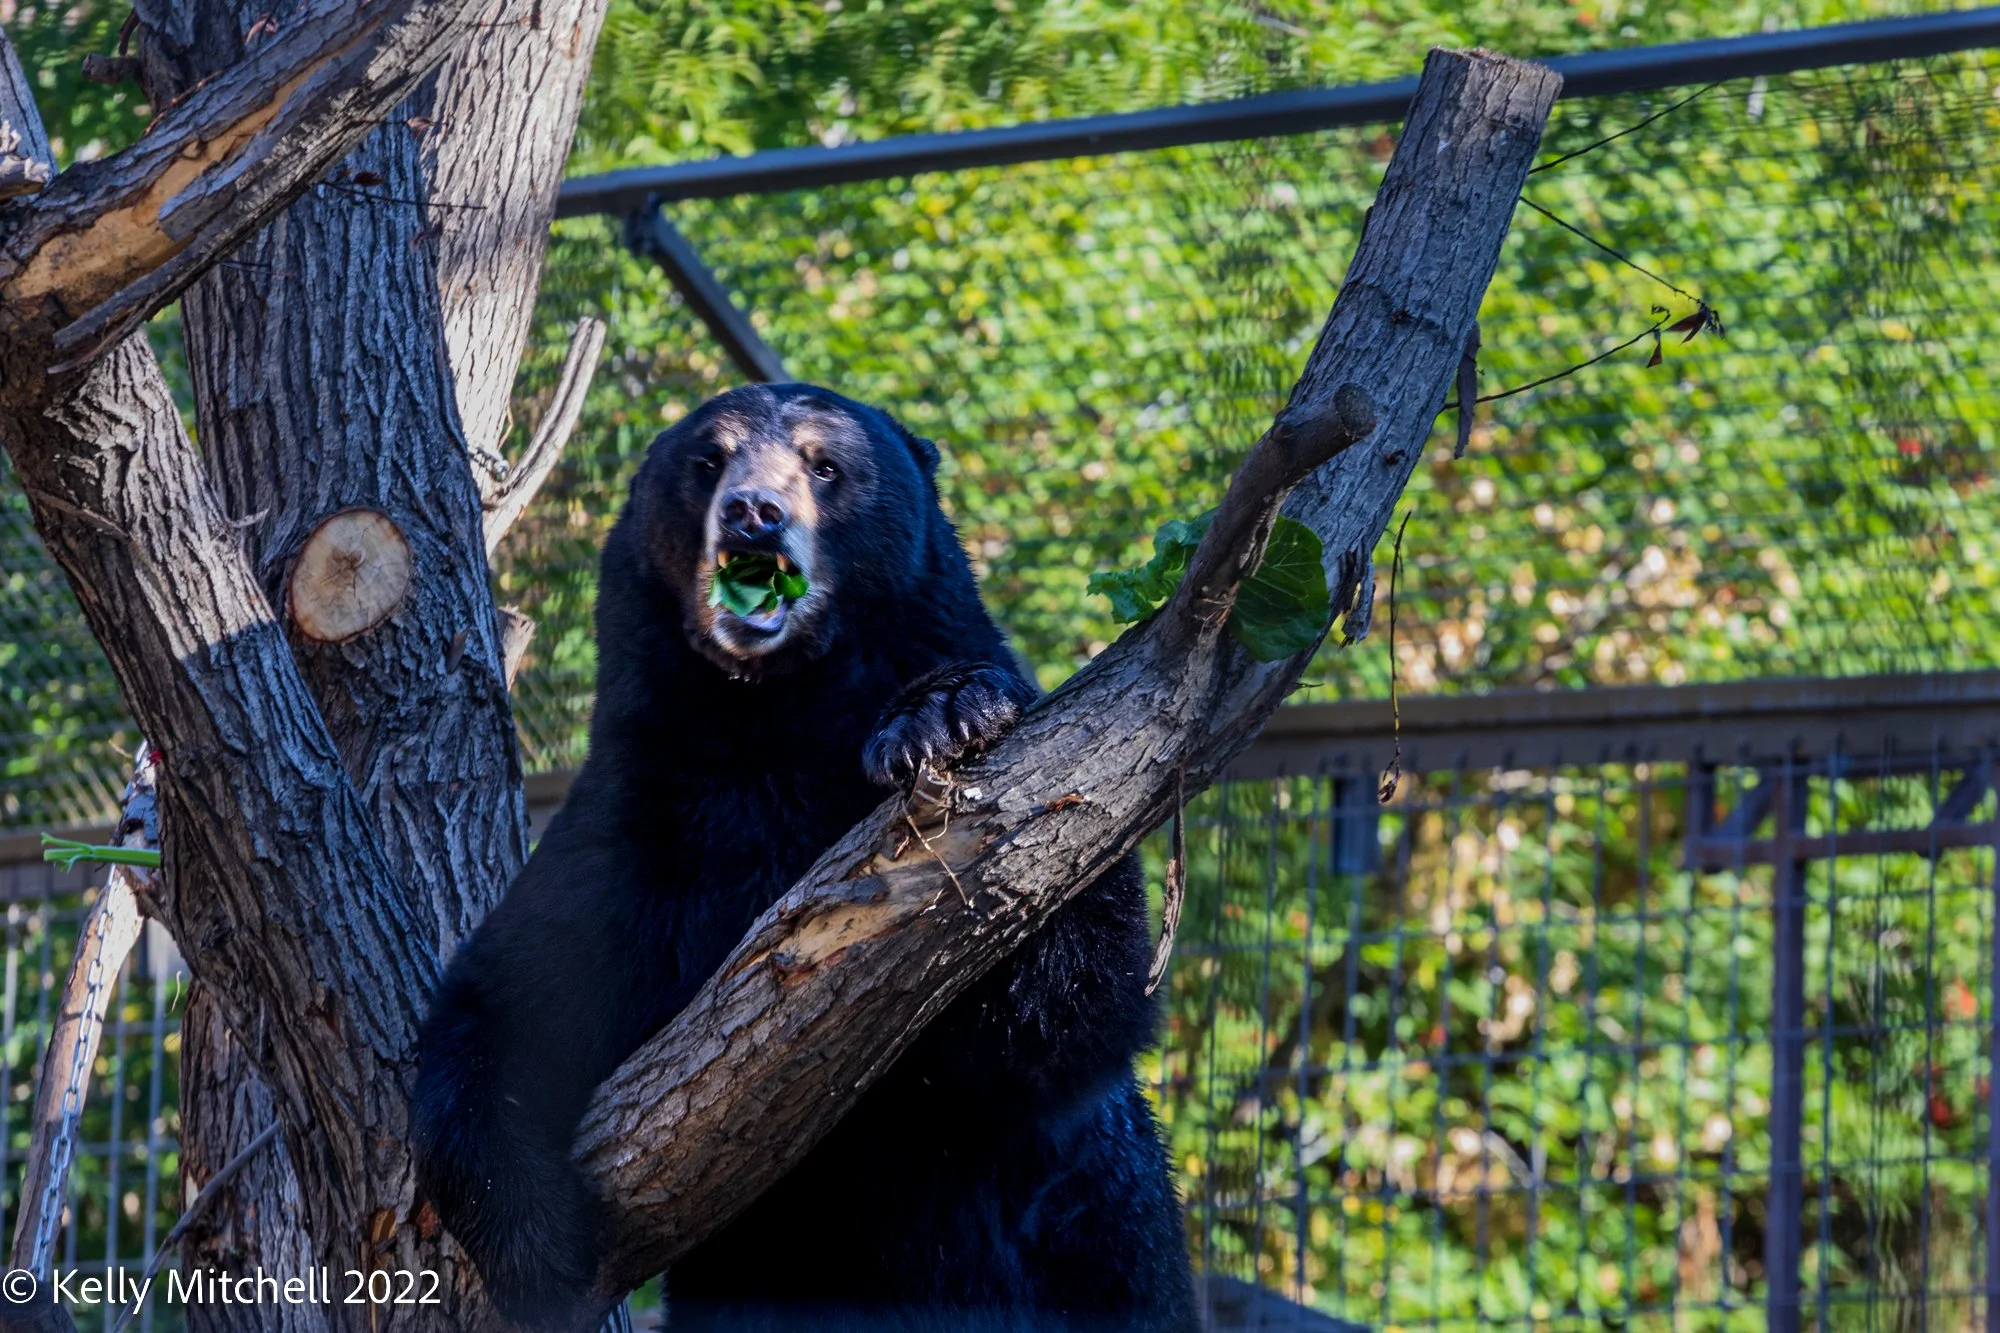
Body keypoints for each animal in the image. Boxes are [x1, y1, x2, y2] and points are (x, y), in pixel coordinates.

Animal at [412, 382, 1199, 1332]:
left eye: (826, 464)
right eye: (708, 457)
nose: (754, 511)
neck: (773, 724)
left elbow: (1068, 1006)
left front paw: (946, 714)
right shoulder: (640, 823)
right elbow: (509, 1000)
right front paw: (541, 1249)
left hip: (1106, 1251)